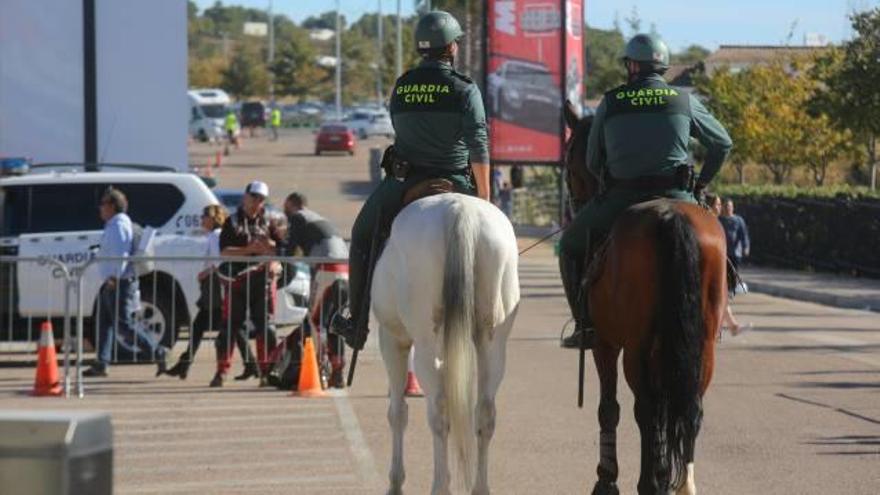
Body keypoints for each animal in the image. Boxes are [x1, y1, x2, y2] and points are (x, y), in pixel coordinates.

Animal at [372, 194, 524, 495]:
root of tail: (459, 210)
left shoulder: (392, 340)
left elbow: (397, 413)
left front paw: (395, 483)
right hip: (492, 342)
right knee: (485, 412)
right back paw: (480, 487)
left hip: (424, 345)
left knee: (439, 414)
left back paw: (440, 485)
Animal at [564, 101, 728, 495]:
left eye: (570, 165)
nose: (575, 204)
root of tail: (669, 216)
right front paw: (661, 472)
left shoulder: (605, 343)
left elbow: (609, 408)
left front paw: (607, 478)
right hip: (701, 343)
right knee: (690, 407)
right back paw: (682, 483)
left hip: (635, 346)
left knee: (646, 407)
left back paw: (649, 483)